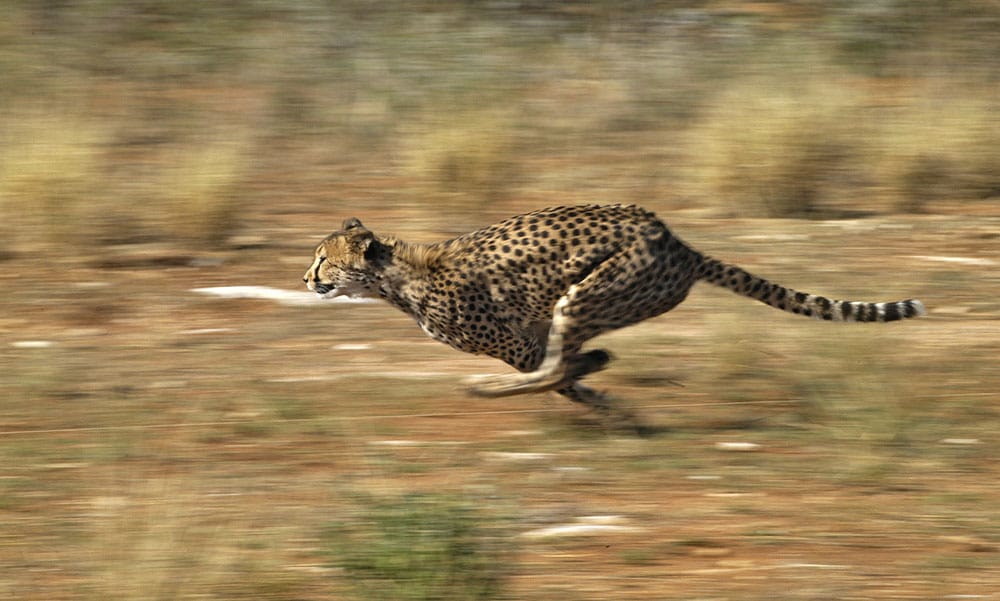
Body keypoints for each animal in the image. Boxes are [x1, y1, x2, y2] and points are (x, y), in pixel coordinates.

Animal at [303, 204, 925, 415]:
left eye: (323, 259)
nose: (305, 278)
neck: (394, 276)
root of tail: (676, 241)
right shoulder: (530, 334)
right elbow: (563, 374)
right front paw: (603, 396)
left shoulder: (517, 342)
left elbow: (555, 376)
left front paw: (606, 404)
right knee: (572, 360)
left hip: (586, 294)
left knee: (560, 365)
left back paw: (492, 388)